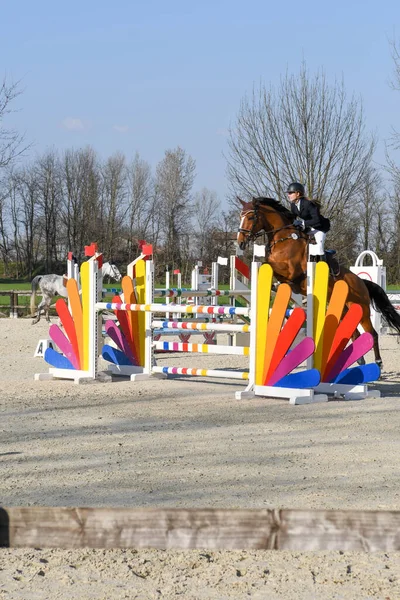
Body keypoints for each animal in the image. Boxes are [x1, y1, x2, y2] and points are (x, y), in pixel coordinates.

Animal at [236, 197, 400, 366]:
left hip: (362, 309)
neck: (283, 238)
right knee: (355, 334)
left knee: (372, 333)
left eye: (250, 217)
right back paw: (359, 361)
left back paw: (378, 363)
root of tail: (361, 281)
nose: (240, 242)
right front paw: (273, 285)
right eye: (240, 216)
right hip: (344, 309)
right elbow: (267, 265)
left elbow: (269, 265)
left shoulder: (291, 270)